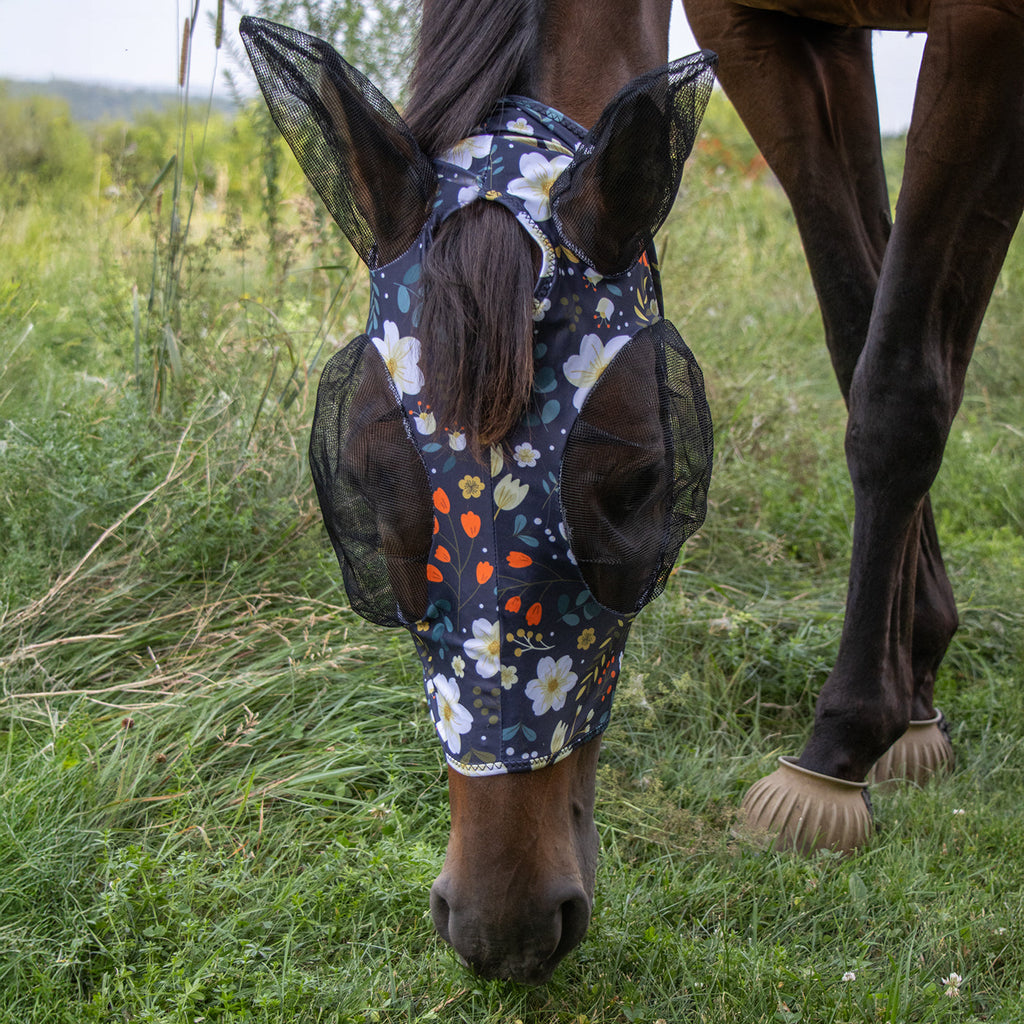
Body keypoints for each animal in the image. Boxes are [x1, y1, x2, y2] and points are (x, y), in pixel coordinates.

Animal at [680, 0, 1024, 845]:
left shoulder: (990, 31)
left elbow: (901, 382)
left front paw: (839, 747)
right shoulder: (772, 32)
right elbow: (864, 327)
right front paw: (917, 681)